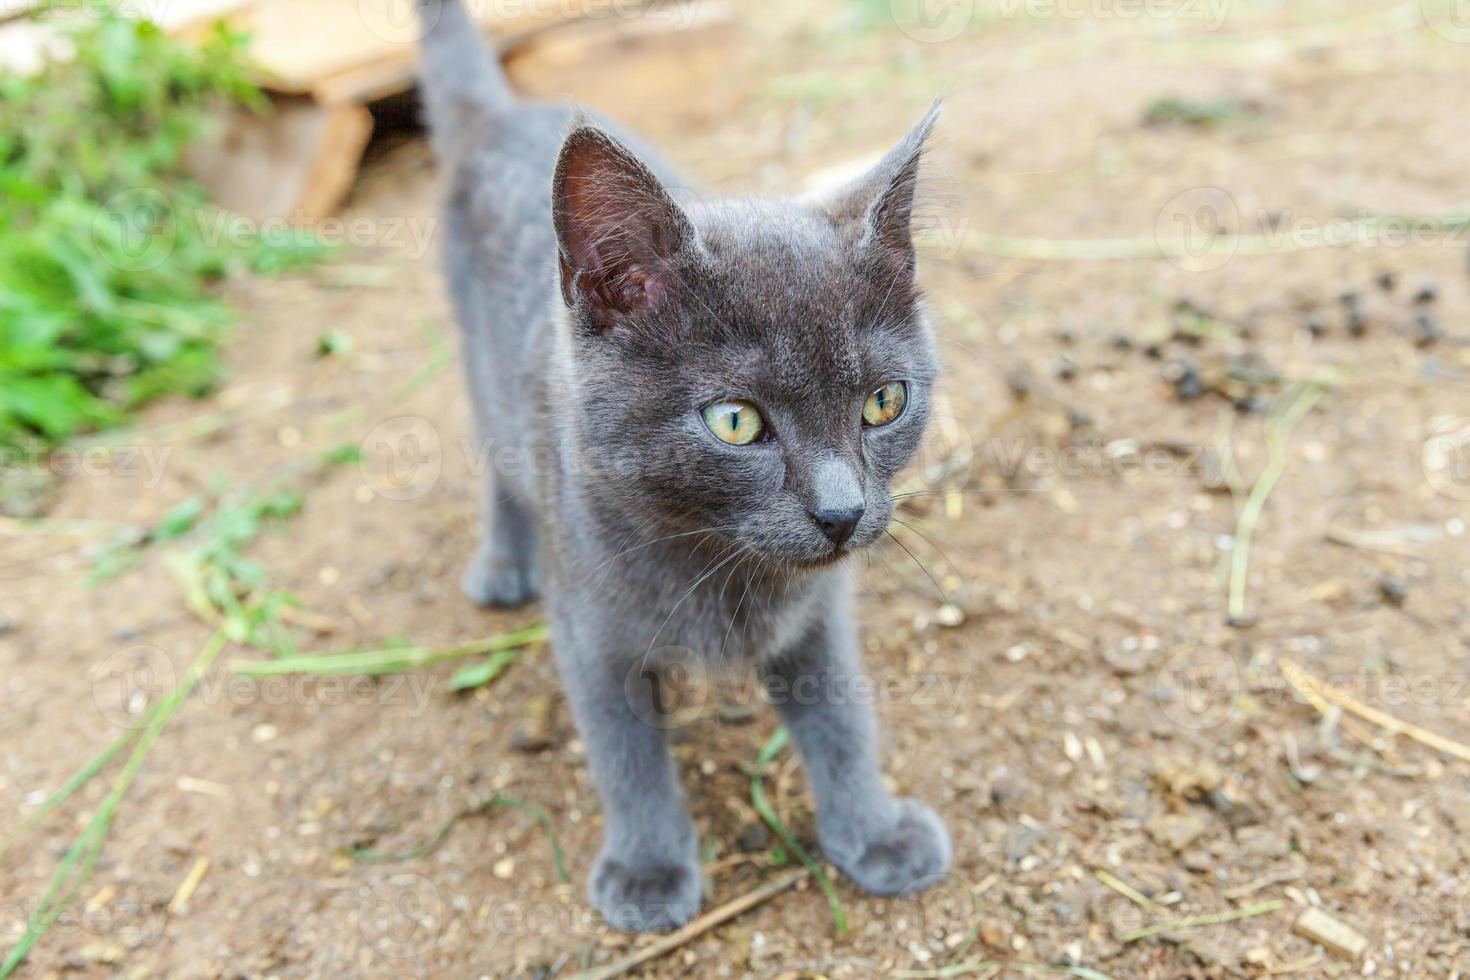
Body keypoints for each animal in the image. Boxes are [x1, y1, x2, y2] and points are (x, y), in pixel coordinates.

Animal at [423, 0, 952, 934]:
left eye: (883, 402)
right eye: (736, 422)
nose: (843, 513)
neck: (720, 564)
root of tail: (503, 113)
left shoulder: (819, 615)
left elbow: (843, 717)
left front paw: (875, 832)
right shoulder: (591, 634)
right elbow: (626, 755)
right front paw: (648, 868)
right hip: (477, 364)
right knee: (491, 453)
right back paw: (502, 562)